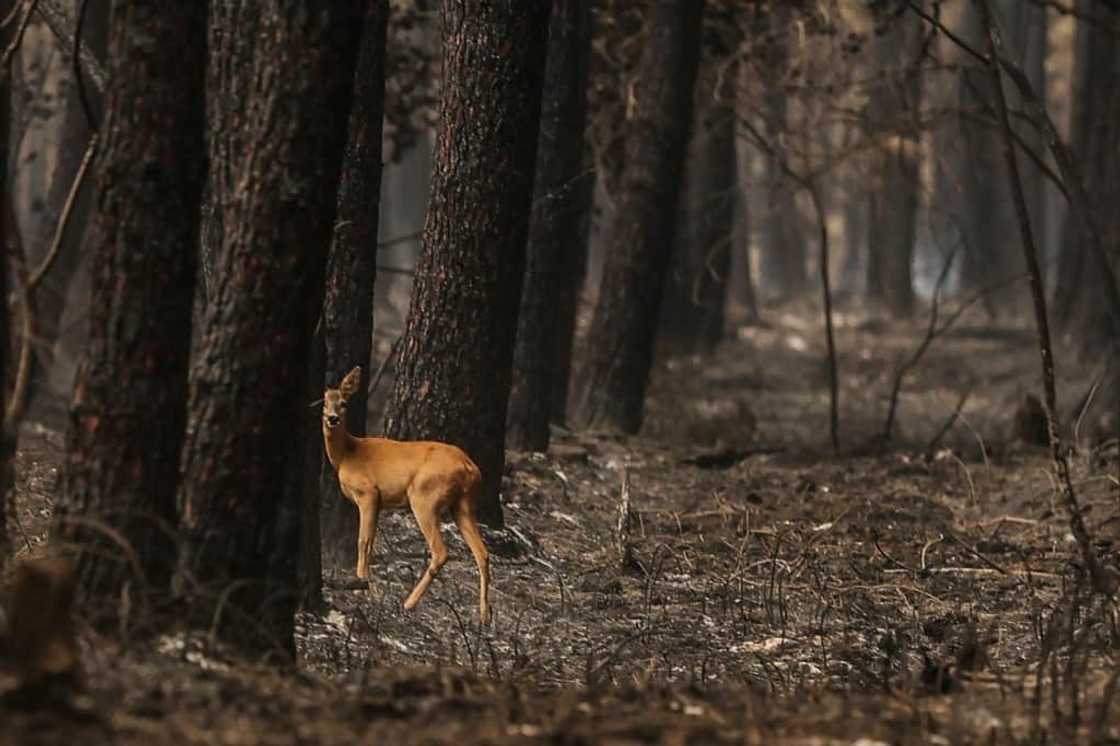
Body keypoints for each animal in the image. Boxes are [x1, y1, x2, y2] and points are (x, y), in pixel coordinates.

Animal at [318, 365, 488, 622]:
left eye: (344, 403)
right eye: (324, 402)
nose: (333, 418)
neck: (347, 454)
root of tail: (470, 468)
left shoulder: (368, 493)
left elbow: (363, 540)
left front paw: (363, 583)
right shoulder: (378, 501)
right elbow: (371, 540)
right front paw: (366, 582)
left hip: (424, 497)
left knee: (441, 551)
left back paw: (409, 603)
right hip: (464, 503)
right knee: (482, 553)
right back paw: (485, 616)